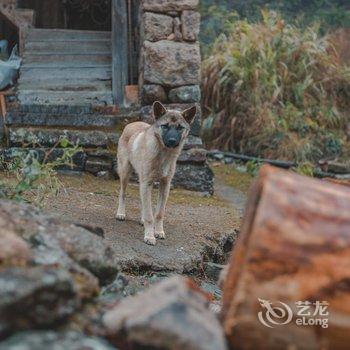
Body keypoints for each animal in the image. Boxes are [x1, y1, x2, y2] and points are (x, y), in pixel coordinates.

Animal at [115, 100, 196, 246]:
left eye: (180, 128)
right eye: (165, 126)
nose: (172, 141)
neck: (163, 154)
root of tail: (131, 124)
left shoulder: (164, 185)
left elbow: (158, 213)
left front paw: (158, 231)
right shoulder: (146, 183)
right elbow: (149, 215)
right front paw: (149, 236)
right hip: (125, 173)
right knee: (122, 194)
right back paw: (121, 213)